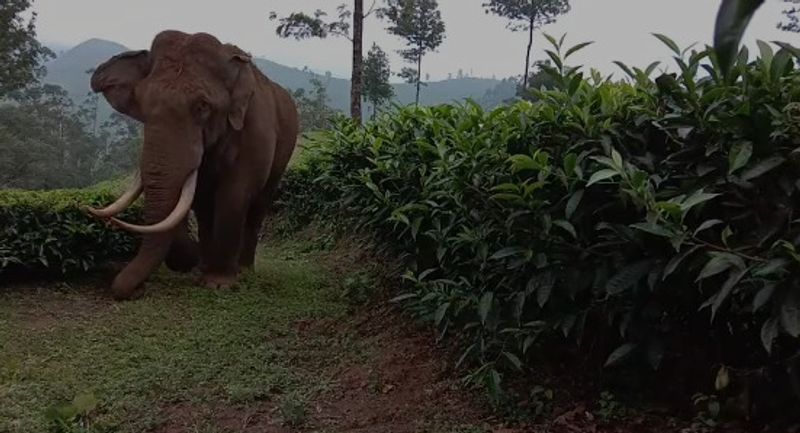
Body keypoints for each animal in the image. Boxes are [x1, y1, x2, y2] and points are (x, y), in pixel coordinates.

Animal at [86, 29, 300, 300]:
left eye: (202, 106)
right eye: (140, 102)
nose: (136, 290)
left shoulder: (255, 131)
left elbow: (234, 196)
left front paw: (219, 283)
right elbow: (201, 199)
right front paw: (203, 273)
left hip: (285, 149)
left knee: (259, 204)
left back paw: (245, 270)